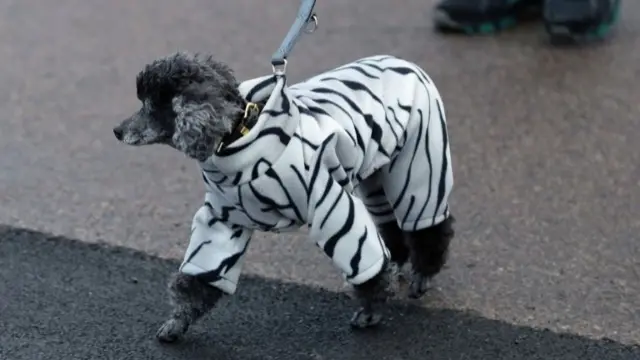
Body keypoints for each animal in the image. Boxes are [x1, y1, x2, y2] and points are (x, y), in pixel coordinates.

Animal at [114, 51, 456, 344]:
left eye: (153, 106)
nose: (117, 131)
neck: (241, 140)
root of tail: (404, 63)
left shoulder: (329, 202)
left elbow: (363, 261)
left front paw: (371, 310)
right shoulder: (225, 220)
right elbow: (202, 274)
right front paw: (178, 321)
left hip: (419, 155)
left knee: (427, 220)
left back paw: (423, 273)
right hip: (377, 172)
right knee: (390, 222)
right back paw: (399, 262)